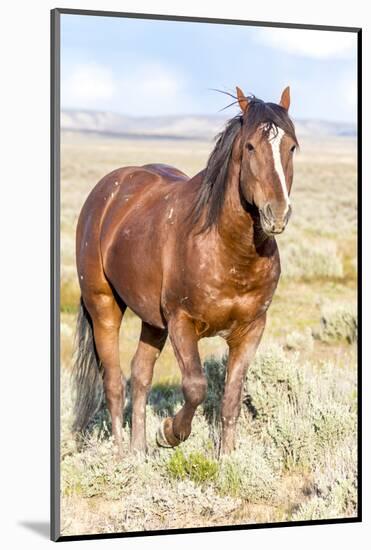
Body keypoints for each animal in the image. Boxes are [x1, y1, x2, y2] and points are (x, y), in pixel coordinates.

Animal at [72, 86, 300, 458]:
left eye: (291, 146)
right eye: (250, 146)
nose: (276, 214)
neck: (229, 250)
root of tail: (109, 191)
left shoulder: (251, 329)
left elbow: (231, 398)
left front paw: (227, 459)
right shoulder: (182, 322)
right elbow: (195, 386)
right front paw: (169, 433)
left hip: (152, 321)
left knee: (140, 374)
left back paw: (139, 451)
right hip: (104, 307)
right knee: (114, 382)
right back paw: (121, 454)